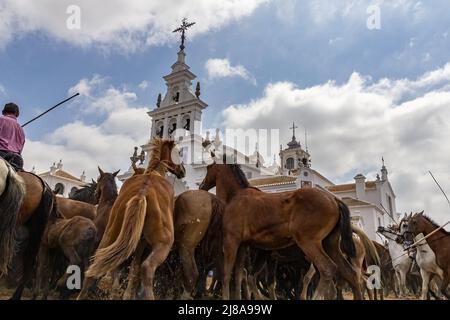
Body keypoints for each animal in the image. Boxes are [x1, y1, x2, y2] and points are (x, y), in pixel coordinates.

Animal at [200, 162, 362, 300]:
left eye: (208, 168)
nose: (201, 186)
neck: (236, 195)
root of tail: (334, 200)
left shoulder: (231, 241)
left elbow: (226, 274)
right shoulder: (243, 245)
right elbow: (239, 275)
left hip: (309, 243)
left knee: (327, 269)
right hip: (329, 245)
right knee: (351, 274)